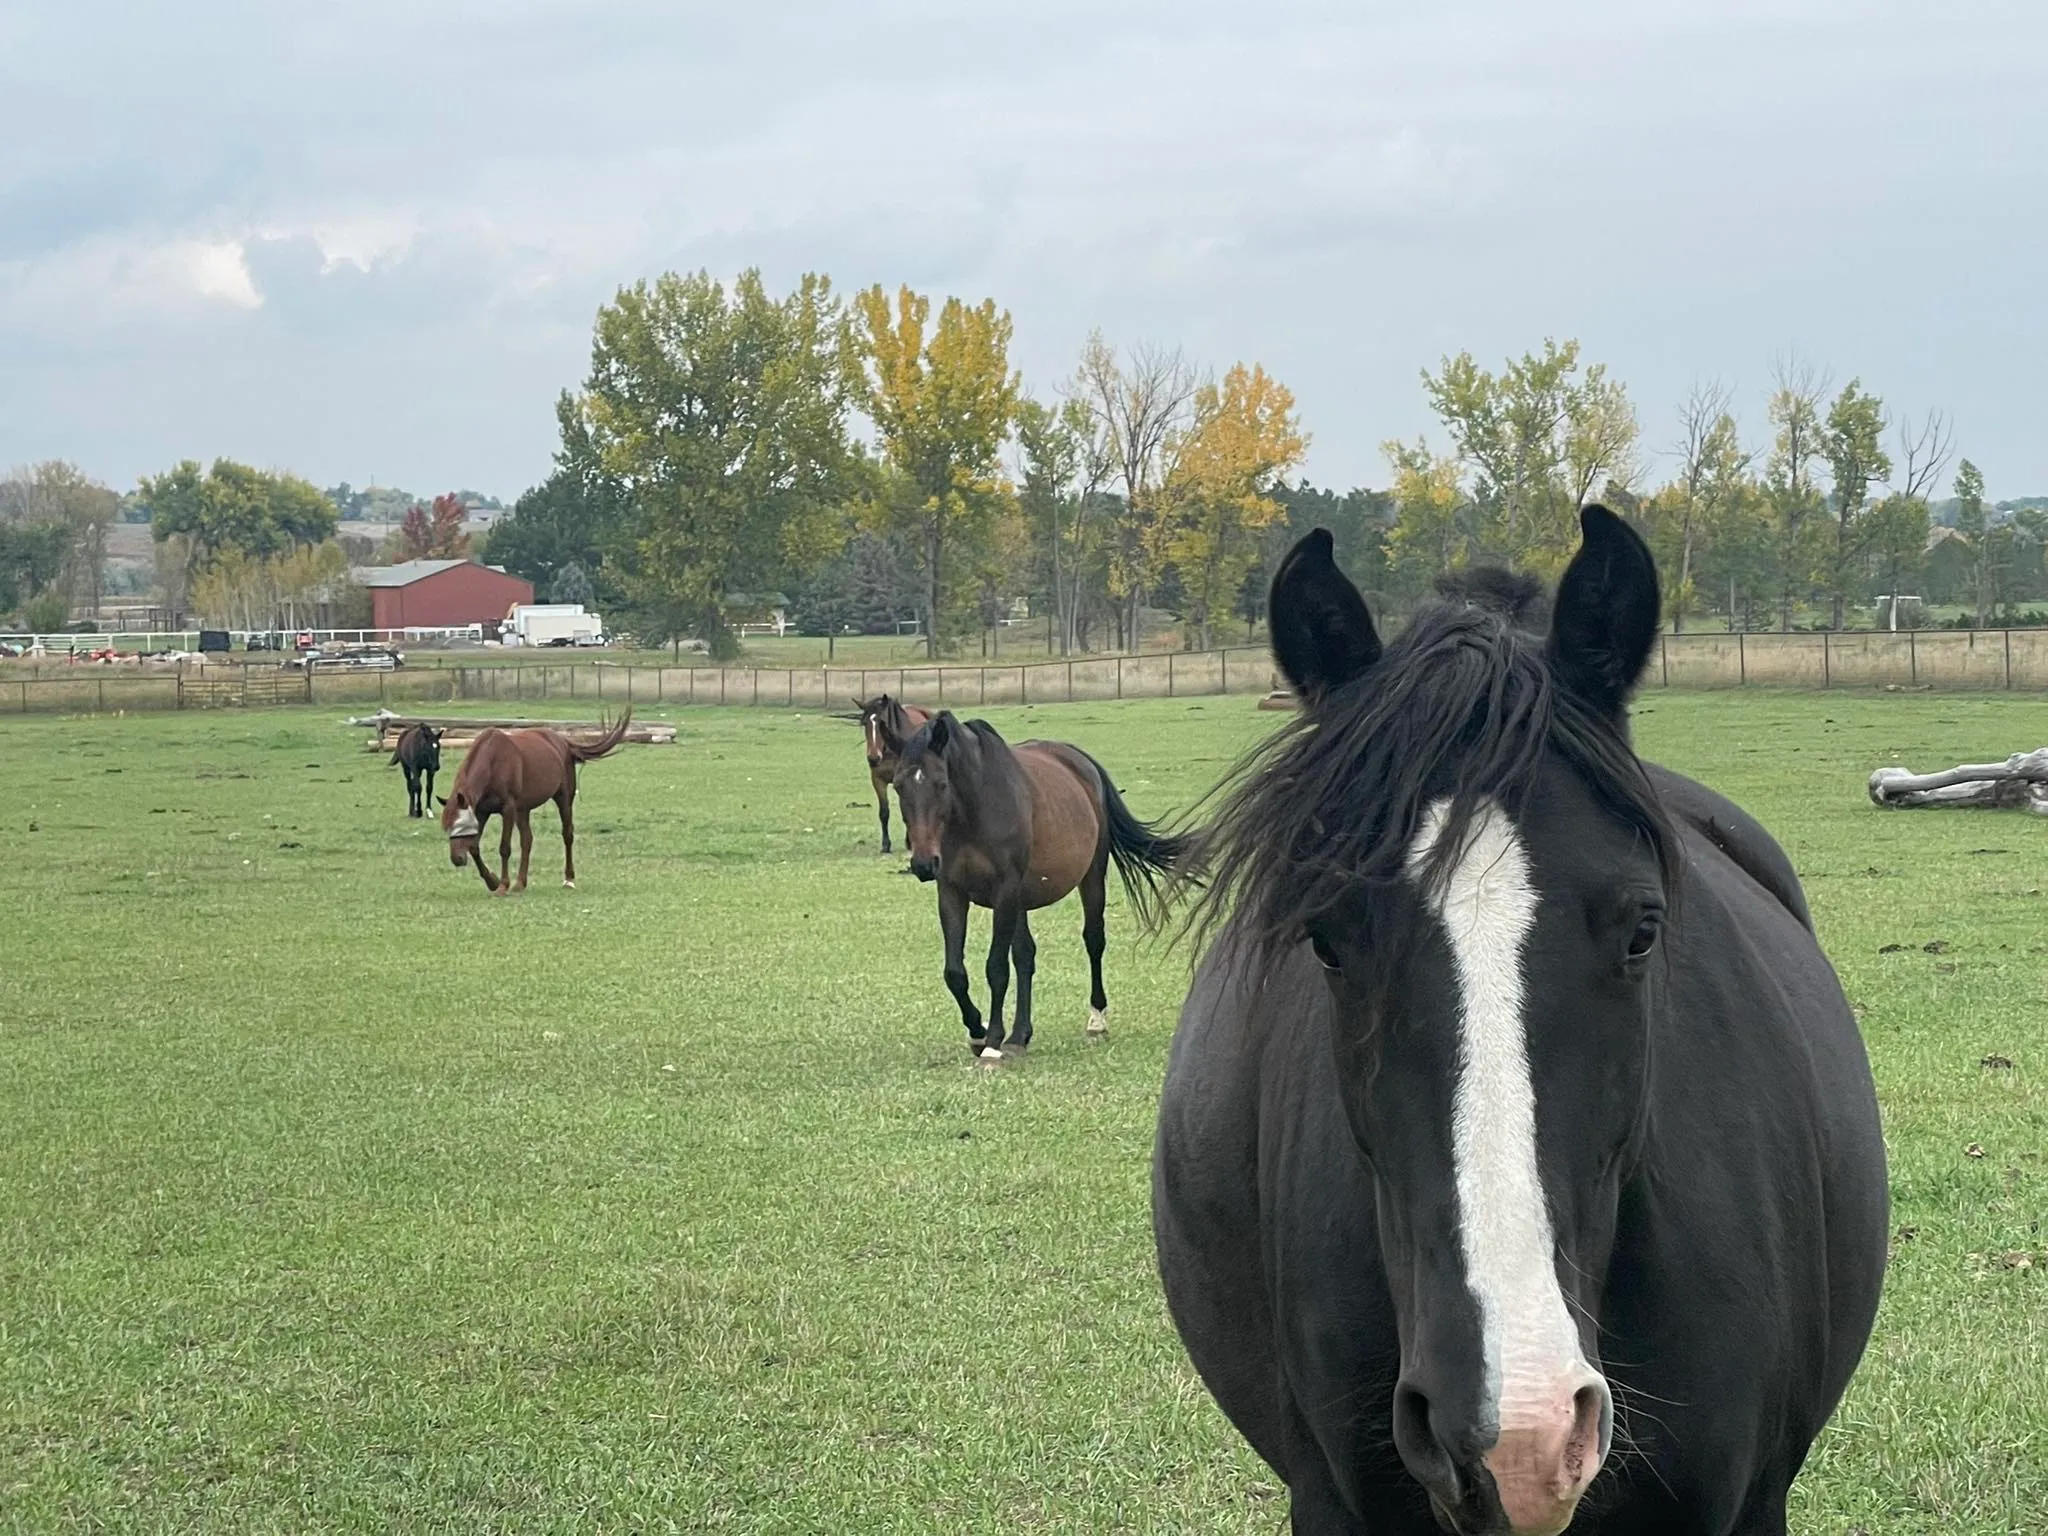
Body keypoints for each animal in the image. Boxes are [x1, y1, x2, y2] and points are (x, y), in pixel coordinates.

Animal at [440, 711, 632, 893]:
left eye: (461, 825)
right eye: (448, 827)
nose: (457, 859)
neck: (492, 763)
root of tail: (563, 742)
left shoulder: (508, 809)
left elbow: (504, 848)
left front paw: (502, 885)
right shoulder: (482, 811)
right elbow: (474, 847)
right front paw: (492, 881)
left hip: (563, 798)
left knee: (567, 834)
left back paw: (568, 879)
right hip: (523, 809)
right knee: (527, 840)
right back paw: (520, 883)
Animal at [853, 693, 932, 854]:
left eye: (883, 724)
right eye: (864, 723)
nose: (873, 758)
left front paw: (910, 843)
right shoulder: (877, 780)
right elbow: (884, 812)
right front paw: (885, 845)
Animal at [893, 711, 1190, 1062]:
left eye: (941, 784)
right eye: (898, 786)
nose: (923, 863)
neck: (974, 810)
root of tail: (1080, 761)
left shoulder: (1005, 892)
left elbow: (996, 968)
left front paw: (992, 1042)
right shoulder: (952, 892)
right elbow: (955, 973)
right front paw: (978, 1032)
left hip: (1090, 877)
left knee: (1093, 941)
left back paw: (1096, 1021)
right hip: (1021, 900)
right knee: (1025, 956)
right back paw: (1020, 1035)